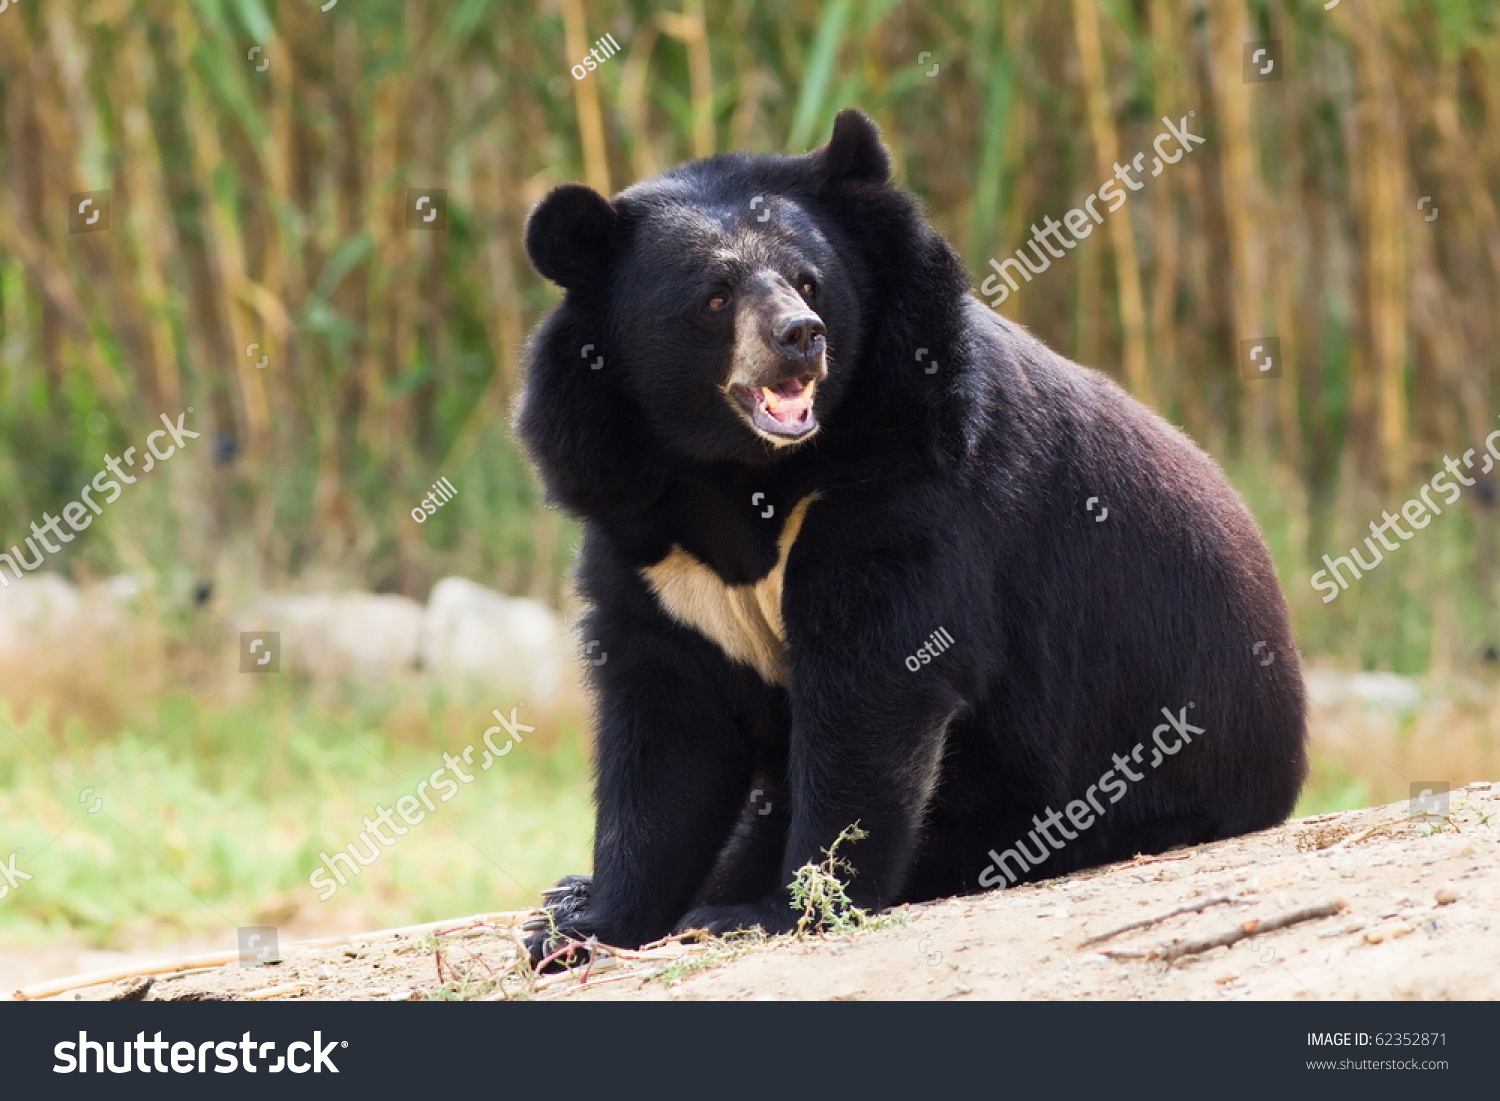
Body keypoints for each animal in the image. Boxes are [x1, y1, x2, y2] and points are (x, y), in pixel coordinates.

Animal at [513, 110, 1302, 966]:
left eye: (809, 280)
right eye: (715, 296)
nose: (801, 336)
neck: (741, 472)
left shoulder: (908, 487)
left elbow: (876, 687)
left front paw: (772, 909)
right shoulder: (646, 539)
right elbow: (667, 728)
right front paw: (585, 924)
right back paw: (564, 891)